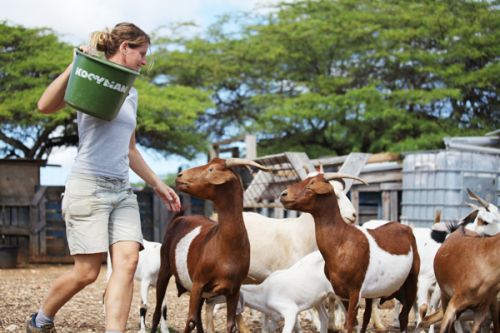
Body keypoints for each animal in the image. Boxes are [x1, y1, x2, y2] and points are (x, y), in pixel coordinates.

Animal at [150, 157, 270, 332]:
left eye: (211, 169)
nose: (179, 176)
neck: (225, 247)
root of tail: (179, 219)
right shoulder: (198, 283)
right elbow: (190, 321)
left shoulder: (234, 290)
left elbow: (230, 324)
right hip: (165, 267)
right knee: (157, 312)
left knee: (199, 317)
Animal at [280, 172, 420, 330]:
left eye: (311, 185)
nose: (283, 194)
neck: (341, 240)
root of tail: (406, 228)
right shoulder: (340, 292)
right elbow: (353, 323)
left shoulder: (355, 291)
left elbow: (349, 324)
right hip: (373, 294)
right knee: (367, 316)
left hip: (411, 280)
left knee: (403, 316)